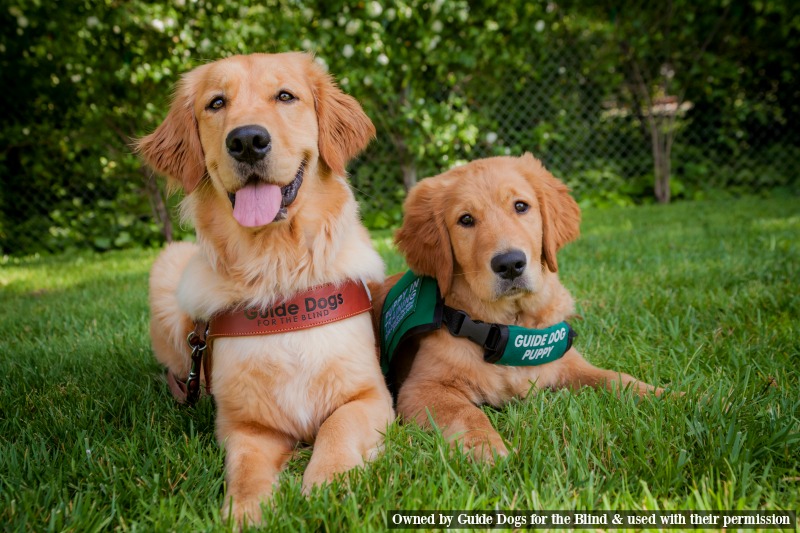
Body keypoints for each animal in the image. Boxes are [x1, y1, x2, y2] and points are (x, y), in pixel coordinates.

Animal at [141, 52, 396, 524]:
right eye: (216, 103)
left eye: (285, 96)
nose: (246, 140)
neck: (277, 270)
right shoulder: (245, 425)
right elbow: (245, 468)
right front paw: (245, 512)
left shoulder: (369, 395)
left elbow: (337, 429)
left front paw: (328, 486)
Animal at [372, 153, 664, 462]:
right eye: (466, 219)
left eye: (520, 206)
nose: (510, 264)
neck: (509, 326)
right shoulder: (420, 388)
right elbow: (464, 413)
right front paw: (485, 446)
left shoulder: (569, 363)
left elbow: (616, 378)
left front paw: (670, 396)